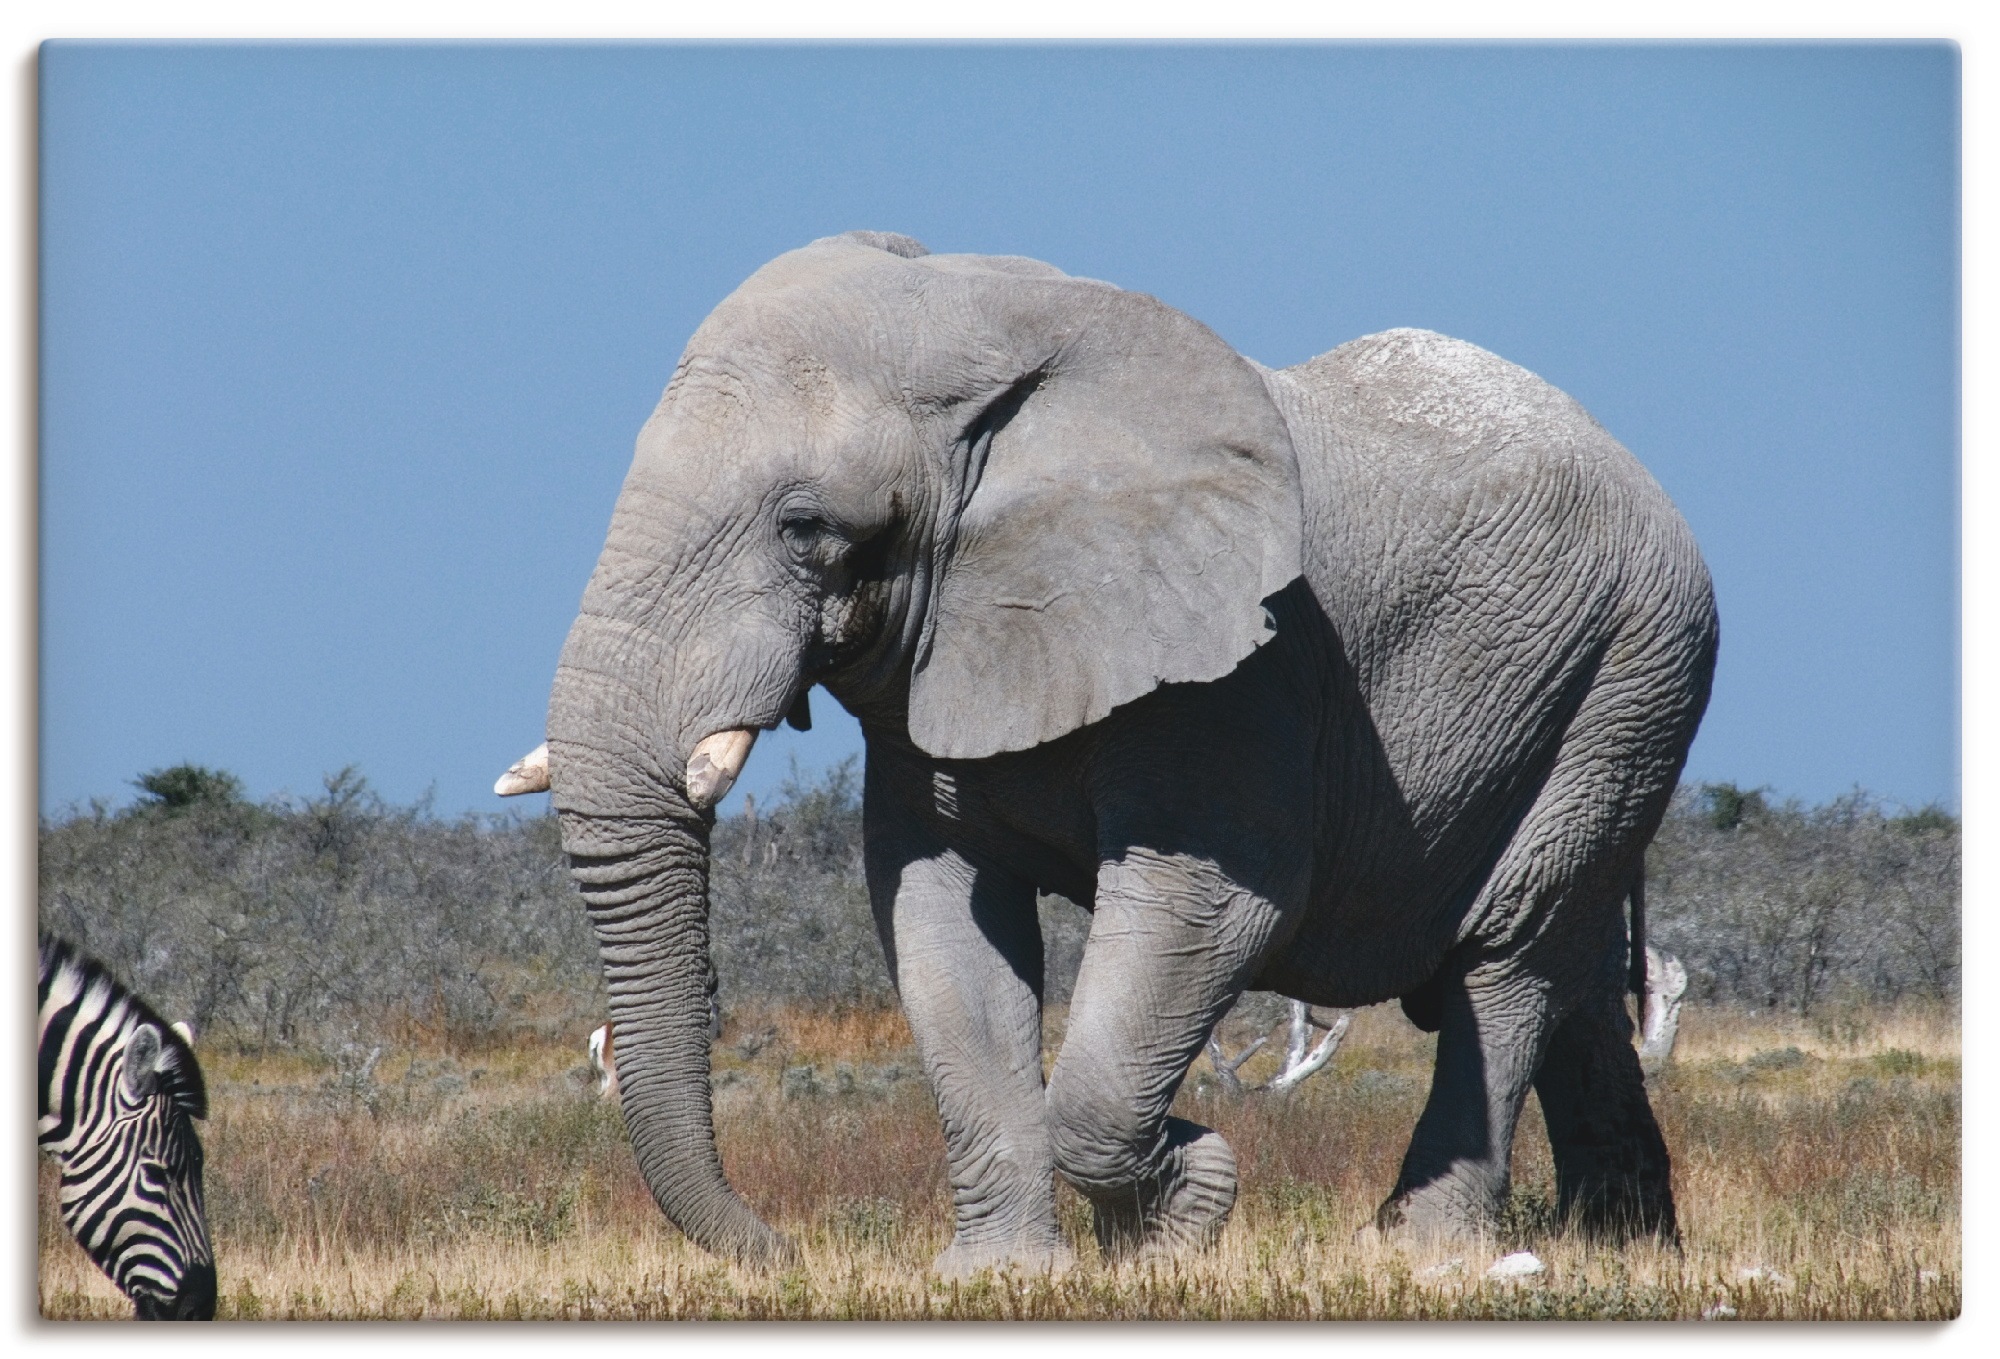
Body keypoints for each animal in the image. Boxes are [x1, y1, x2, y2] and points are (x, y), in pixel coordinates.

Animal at [503, 230, 1717, 1274]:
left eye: (806, 528)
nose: (786, 1249)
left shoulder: (1248, 672)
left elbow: (1218, 907)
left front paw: (1181, 1219)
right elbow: (938, 920)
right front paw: (999, 1276)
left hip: (1627, 685)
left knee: (1502, 965)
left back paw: (1420, 1253)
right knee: (1571, 986)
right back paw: (1625, 1247)